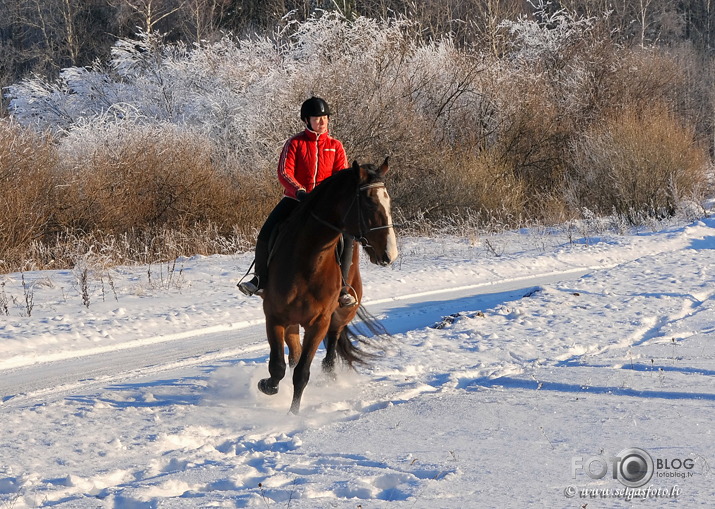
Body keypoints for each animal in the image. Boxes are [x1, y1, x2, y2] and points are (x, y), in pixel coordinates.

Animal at [258, 158, 398, 412]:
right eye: (370, 203)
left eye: (388, 201)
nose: (390, 254)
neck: (308, 262)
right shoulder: (274, 317)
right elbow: (278, 367)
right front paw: (267, 385)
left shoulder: (319, 323)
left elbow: (302, 374)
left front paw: (292, 415)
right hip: (292, 320)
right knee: (293, 353)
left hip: (340, 316)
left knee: (330, 351)